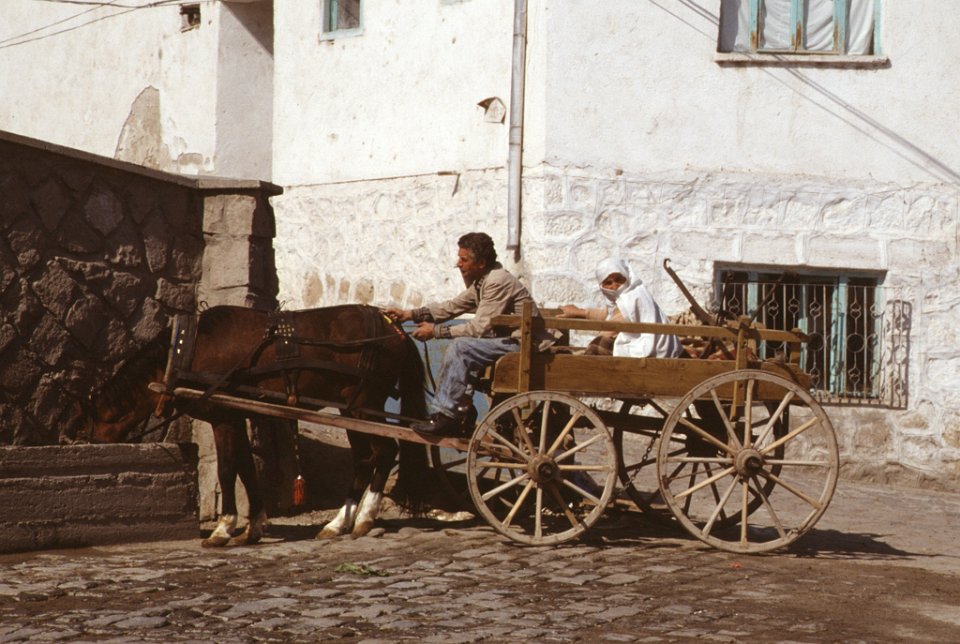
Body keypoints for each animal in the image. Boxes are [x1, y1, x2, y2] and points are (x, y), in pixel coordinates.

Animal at [65, 304, 434, 547]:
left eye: (83, 430)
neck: (184, 352)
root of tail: (394, 328)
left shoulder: (223, 418)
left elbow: (228, 470)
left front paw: (223, 528)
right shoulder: (235, 416)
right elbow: (246, 468)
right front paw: (253, 526)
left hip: (364, 406)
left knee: (384, 452)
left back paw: (365, 519)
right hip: (351, 411)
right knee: (364, 459)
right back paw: (338, 522)